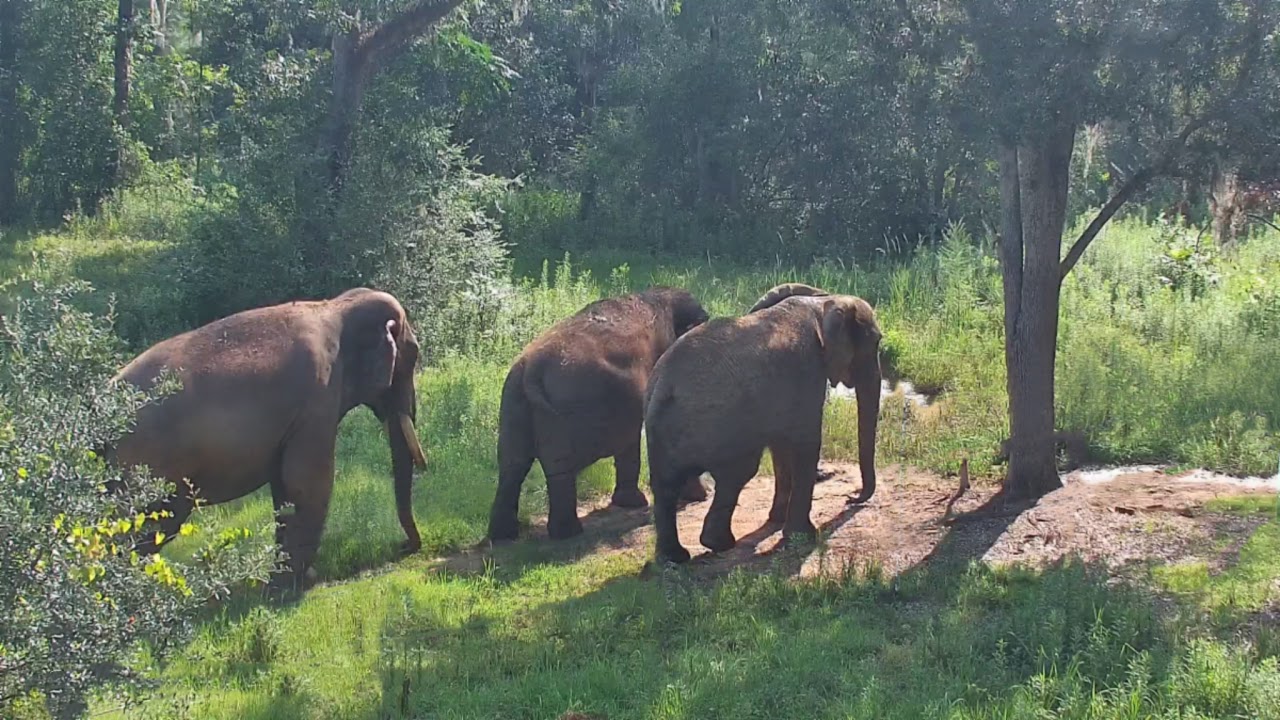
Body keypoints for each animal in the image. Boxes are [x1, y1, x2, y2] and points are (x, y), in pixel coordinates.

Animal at [110, 287, 427, 588]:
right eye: (413, 354)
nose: (403, 546)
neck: (336, 306)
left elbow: (284, 487)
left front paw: (286, 580)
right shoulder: (316, 397)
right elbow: (307, 481)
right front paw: (294, 585)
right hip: (152, 469)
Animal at [487, 287, 711, 542]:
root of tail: (530, 370)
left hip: (513, 403)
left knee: (512, 466)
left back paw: (502, 535)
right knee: (557, 468)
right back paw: (567, 533)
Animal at [644, 282, 882, 563]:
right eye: (876, 341)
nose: (851, 497)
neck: (823, 301)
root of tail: (664, 386)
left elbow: (782, 447)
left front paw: (778, 521)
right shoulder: (807, 371)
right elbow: (805, 443)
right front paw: (803, 537)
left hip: (661, 431)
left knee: (665, 488)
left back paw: (674, 557)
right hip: (720, 425)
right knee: (737, 473)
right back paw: (720, 544)